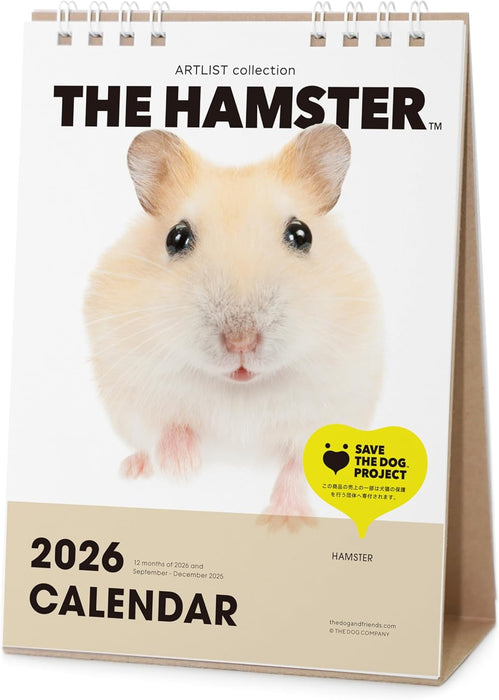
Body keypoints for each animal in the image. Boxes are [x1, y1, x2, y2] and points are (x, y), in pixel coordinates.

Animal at [84, 124, 383, 523]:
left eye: (301, 234)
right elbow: (166, 425)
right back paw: (134, 470)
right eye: (176, 237)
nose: (241, 342)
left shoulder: (335, 401)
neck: (240, 389)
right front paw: (182, 470)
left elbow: (297, 464)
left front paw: (283, 522)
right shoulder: (132, 383)